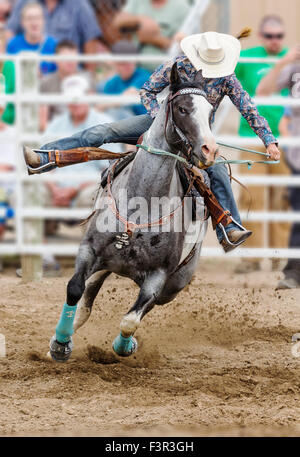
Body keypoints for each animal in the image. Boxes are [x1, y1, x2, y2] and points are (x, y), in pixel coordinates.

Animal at [48, 64, 218, 362]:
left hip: (175, 284)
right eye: (183, 109)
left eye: (210, 113)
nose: (210, 150)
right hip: (107, 264)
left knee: (147, 306)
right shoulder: (88, 250)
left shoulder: (159, 276)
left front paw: (124, 346)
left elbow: (130, 319)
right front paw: (60, 344)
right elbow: (75, 288)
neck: (142, 203)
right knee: (88, 295)